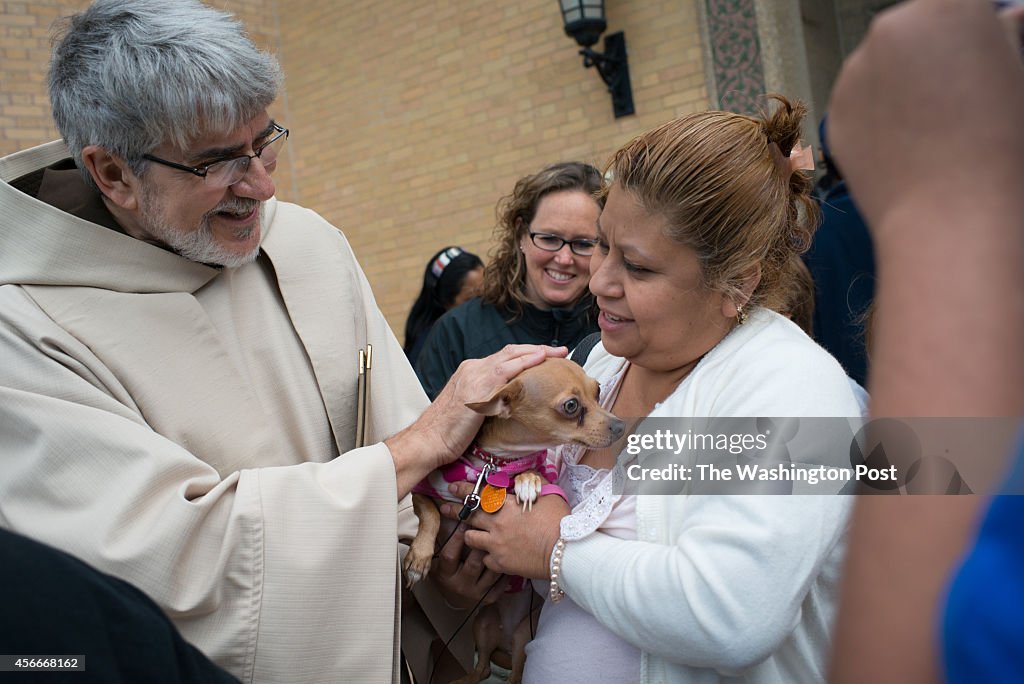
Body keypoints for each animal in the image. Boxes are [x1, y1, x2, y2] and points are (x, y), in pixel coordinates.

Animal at [403, 356, 618, 684]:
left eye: (597, 392)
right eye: (571, 406)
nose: (620, 425)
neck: (495, 463)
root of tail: (502, 638)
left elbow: (535, 474)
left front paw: (528, 480)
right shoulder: (423, 491)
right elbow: (430, 516)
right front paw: (420, 558)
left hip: (523, 638)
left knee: (513, 675)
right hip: (481, 624)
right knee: (481, 668)